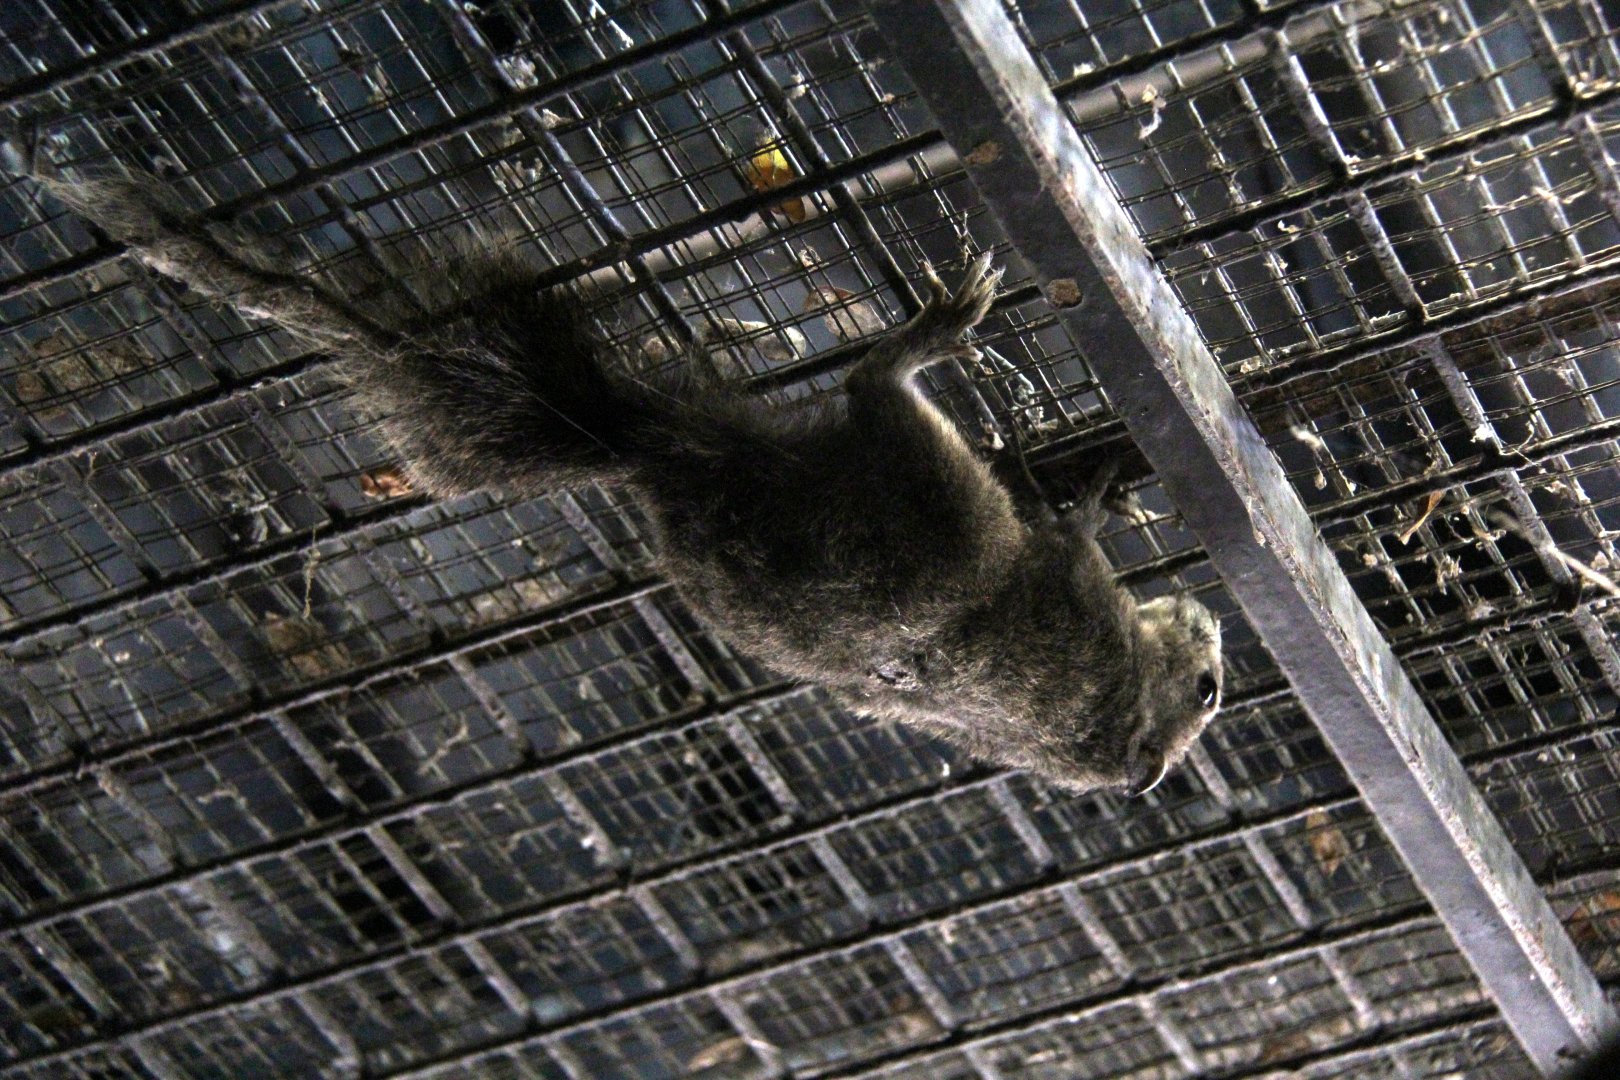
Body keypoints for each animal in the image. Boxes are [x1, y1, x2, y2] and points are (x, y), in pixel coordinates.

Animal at [36, 174, 1222, 797]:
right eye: (1211, 693)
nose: (1210, 628)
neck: (1109, 712)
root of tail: (664, 454)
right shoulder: (1075, 595)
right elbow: (1073, 537)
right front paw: (1103, 494)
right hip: (933, 483)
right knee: (871, 384)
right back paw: (930, 335)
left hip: (919, 490)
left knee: (872, 395)